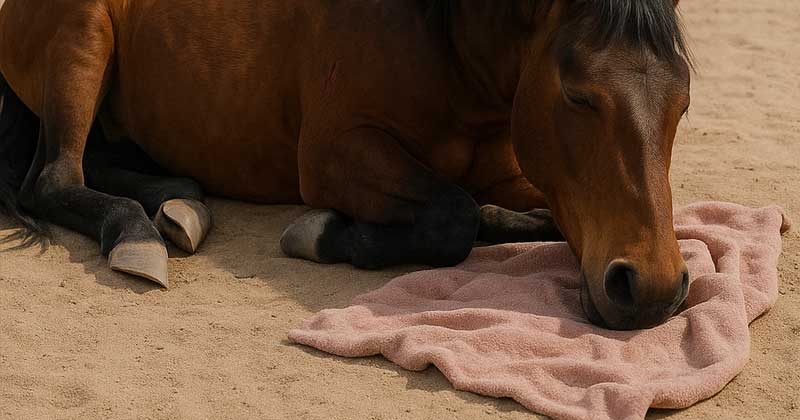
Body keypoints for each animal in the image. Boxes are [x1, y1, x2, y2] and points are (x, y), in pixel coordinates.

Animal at [0, 0, 692, 330]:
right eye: (579, 96)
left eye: (682, 101)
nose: (651, 289)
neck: (442, 42)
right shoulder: (336, 155)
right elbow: (454, 216)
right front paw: (328, 234)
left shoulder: (516, 171)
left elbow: (515, 212)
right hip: (83, 43)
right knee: (54, 179)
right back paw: (136, 234)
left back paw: (179, 202)